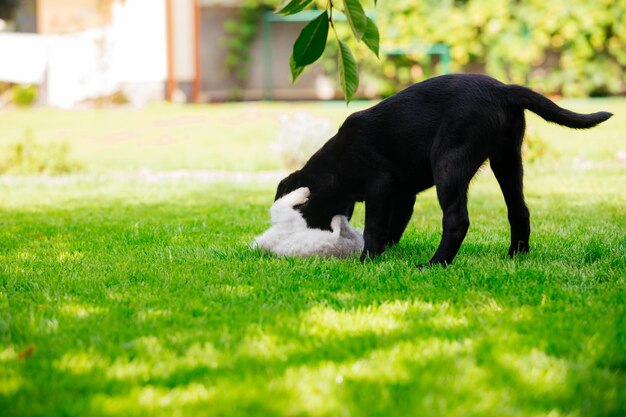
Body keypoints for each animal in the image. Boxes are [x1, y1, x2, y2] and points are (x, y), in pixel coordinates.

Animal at [272, 73, 608, 264]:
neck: (338, 163)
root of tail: (503, 89)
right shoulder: (402, 195)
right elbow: (393, 227)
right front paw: (386, 253)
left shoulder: (380, 186)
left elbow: (374, 228)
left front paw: (368, 259)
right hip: (507, 160)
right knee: (519, 210)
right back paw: (515, 256)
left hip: (449, 164)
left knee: (457, 219)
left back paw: (435, 263)